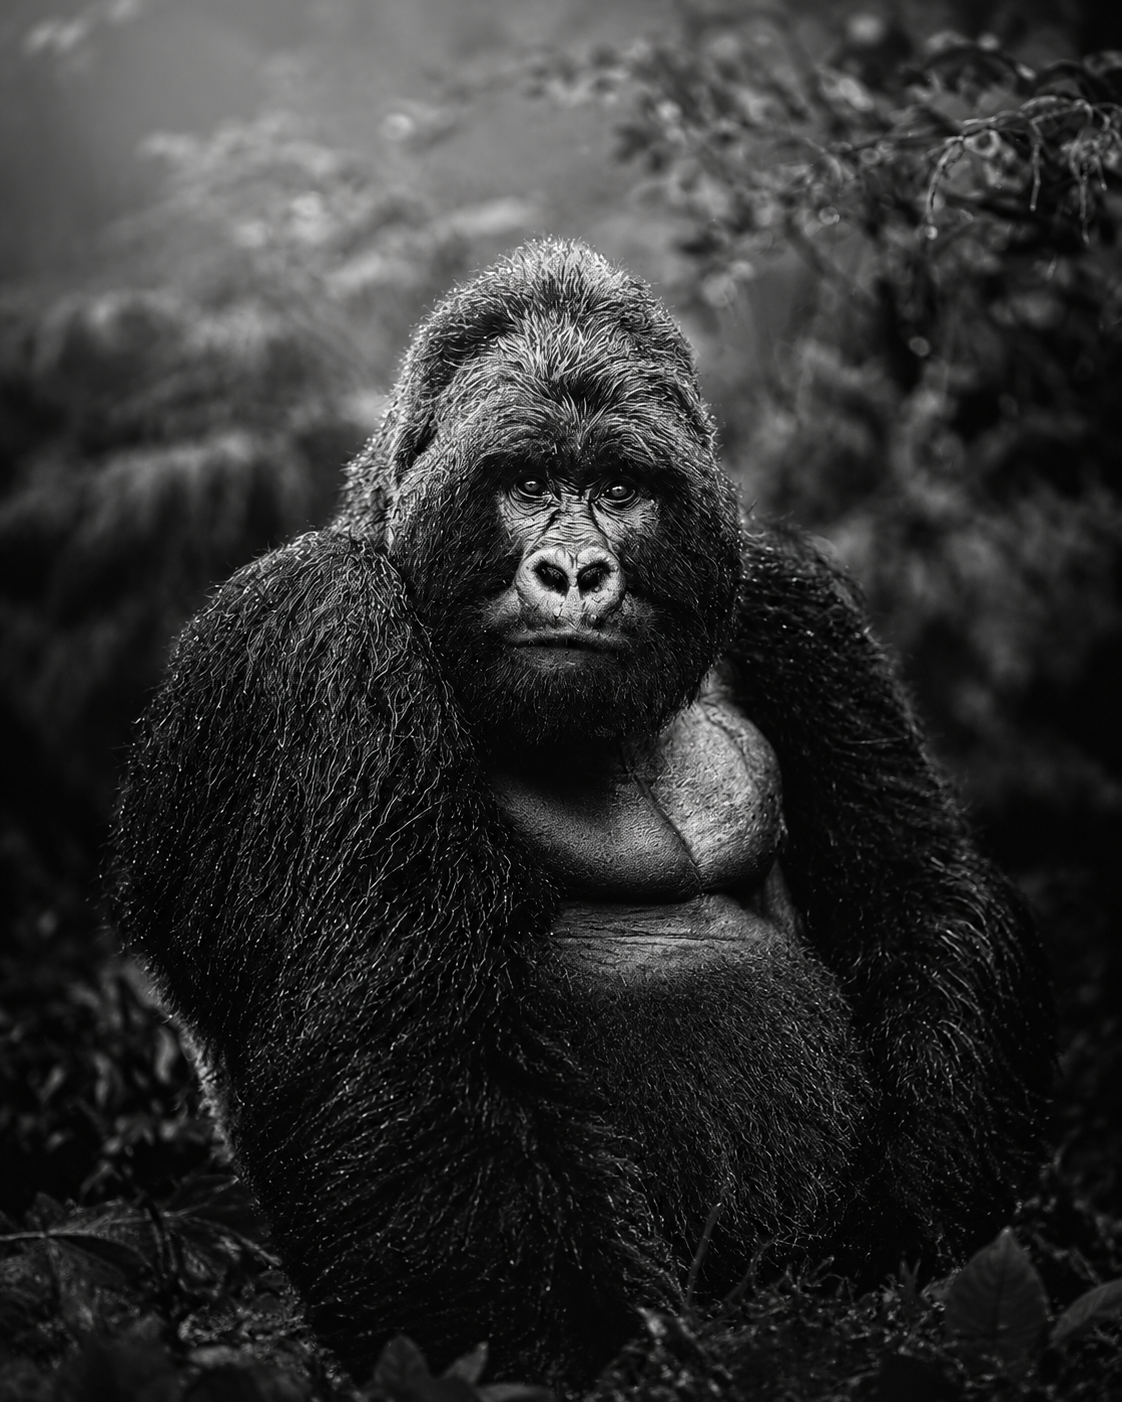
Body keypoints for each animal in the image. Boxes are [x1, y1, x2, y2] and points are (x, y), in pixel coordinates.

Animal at [111, 240, 1053, 1389]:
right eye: (525, 486)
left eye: (616, 488)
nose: (573, 570)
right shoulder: (307, 636)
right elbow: (398, 1054)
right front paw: (611, 1363)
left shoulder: (792, 598)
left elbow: (917, 887)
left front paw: (911, 1230)